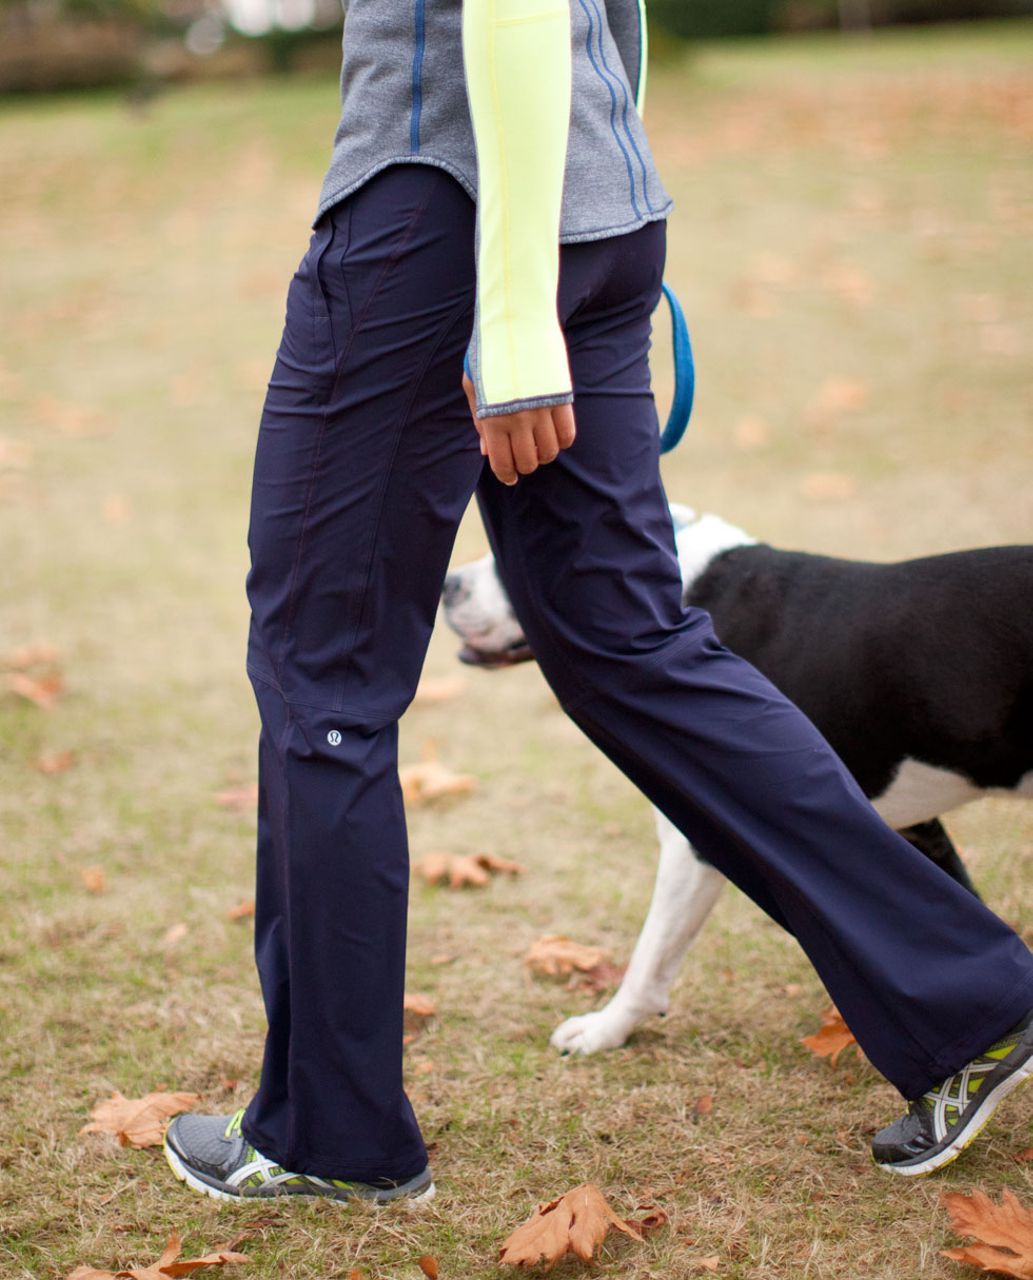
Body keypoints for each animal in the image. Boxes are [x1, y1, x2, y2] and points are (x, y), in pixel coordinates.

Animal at [437, 504, 1033, 1054]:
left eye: (510, 558)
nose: (448, 585)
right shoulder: (903, 830)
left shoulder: (696, 835)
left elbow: (651, 955)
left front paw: (605, 1030)